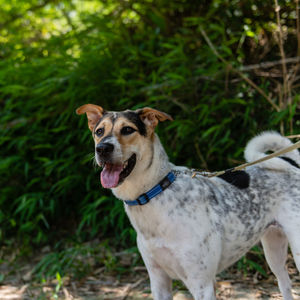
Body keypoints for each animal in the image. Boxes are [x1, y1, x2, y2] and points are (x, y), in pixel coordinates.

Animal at [76, 103, 300, 300]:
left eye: (128, 129)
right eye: (99, 131)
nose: (102, 148)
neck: (155, 192)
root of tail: (290, 164)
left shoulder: (201, 284)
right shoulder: (158, 281)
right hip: (273, 249)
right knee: (285, 284)